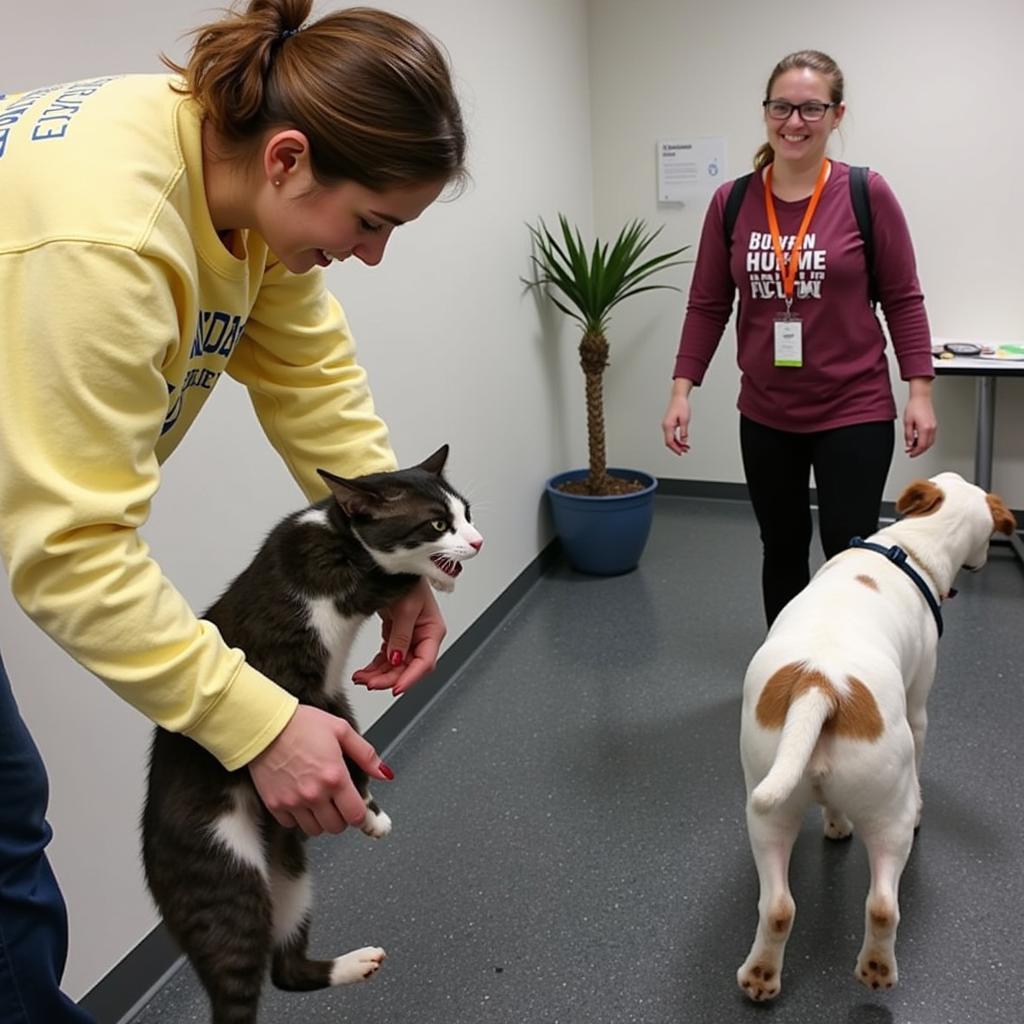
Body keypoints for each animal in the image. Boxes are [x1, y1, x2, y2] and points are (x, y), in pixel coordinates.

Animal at [139, 448, 483, 1024]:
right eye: (437, 524)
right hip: (222, 873)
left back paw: (353, 964)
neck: (338, 532)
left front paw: (370, 811)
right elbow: (392, 575)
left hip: (289, 868)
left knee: (286, 970)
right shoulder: (304, 686)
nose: (478, 541)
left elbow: (353, 744)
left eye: (467, 513)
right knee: (237, 976)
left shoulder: (331, 698)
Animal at [737, 471, 1015, 999]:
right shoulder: (919, 706)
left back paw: (760, 975)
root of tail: (821, 685)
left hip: (768, 808)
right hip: (890, 817)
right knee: (884, 905)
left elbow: (831, 808)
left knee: (777, 907)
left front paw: (835, 824)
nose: (984, 561)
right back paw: (877, 969)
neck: (913, 546)